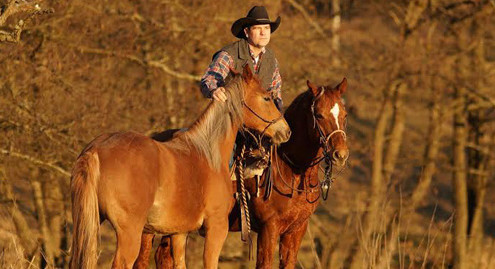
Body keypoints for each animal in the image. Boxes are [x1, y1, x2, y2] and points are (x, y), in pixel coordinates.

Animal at [70, 65, 294, 268]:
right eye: (266, 98)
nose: (286, 131)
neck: (209, 154)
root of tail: (96, 149)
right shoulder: (216, 228)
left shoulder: (179, 233)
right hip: (130, 233)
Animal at [136, 78, 350, 268]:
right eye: (319, 115)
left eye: (345, 115)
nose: (340, 154)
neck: (292, 171)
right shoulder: (269, 228)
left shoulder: (296, 230)